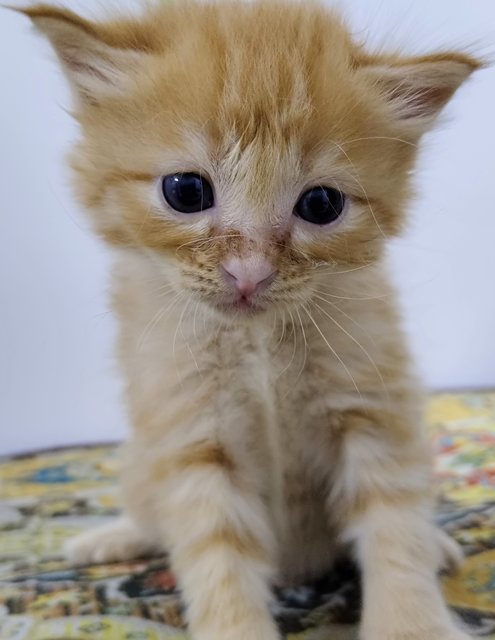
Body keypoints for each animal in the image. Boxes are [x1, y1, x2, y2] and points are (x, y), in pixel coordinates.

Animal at [19, 1, 480, 640]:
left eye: (322, 205)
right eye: (186, 191)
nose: (249, 274)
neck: (257, 343)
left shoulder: (376, 406)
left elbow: (394, 527)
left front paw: (410, 624)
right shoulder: (189, 431)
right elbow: (217, 557)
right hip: (140, 455)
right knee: (146, 509)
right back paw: (110, 538)